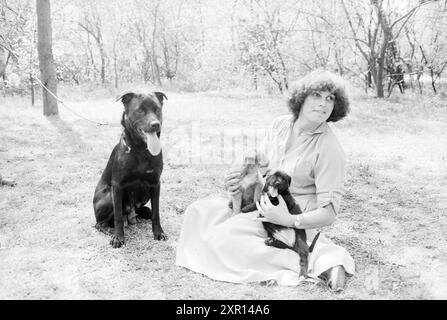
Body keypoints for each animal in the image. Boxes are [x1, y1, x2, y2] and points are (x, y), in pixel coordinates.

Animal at [93, 91, 168, 249]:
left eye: (157, 110)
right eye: (140, 111)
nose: (155, 124)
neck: (141, 150)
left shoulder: (155, 183)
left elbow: (156, 213)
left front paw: (158, 233)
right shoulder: (117, 186)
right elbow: (118, 217)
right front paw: (118, 237)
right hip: (108, 196)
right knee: (100, 224)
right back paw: (110, 231)